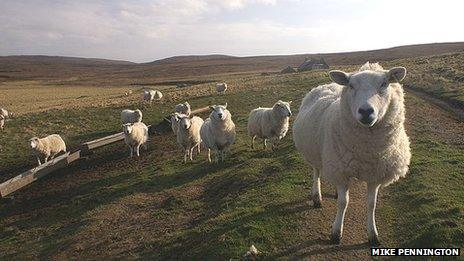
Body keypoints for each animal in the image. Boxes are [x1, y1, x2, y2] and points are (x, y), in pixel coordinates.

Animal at [292, 62, 412, 245]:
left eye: (384, 83)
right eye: (351, 85)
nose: (366, 111)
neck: (367, 151)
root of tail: (326, 85)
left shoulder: (375, 174)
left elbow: (371, 204)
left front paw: (373, 235)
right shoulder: (341, 170)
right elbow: (343, 202)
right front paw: (336, 233)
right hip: (316, 154)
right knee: (316, 173)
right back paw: (317, 197)